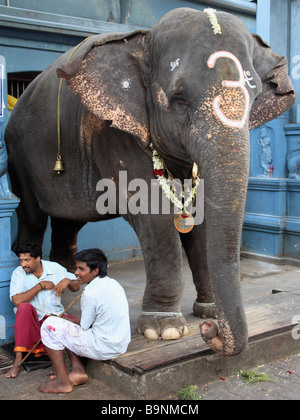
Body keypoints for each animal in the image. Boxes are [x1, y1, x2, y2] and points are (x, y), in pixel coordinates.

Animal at [5, 7, 296, 354]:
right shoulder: (114, 133)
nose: (210, 335)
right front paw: (164, 330)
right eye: (179, 99)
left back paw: (70, 287)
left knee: (67, 222)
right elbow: (153, 215)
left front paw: (208, 313)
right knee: (33, 216)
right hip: (18, 153)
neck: (142, 41)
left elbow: (202, 214)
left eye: (254, 97)